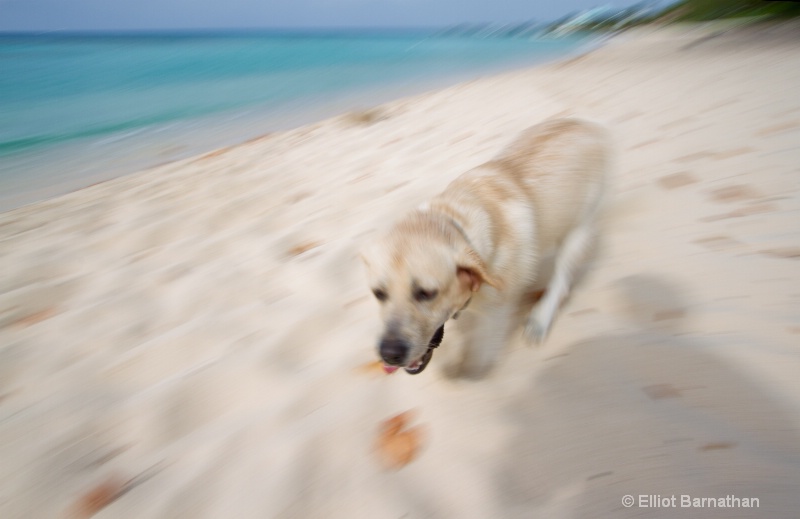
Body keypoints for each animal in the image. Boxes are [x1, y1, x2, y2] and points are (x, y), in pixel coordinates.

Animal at [360, 119, 608, 378]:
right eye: (378, 293)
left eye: (426, 293)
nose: (389, 354)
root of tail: (587, 124)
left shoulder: (494, 314)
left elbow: (479, 353)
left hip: (580, 230)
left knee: (562, 279)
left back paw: (540, 319)